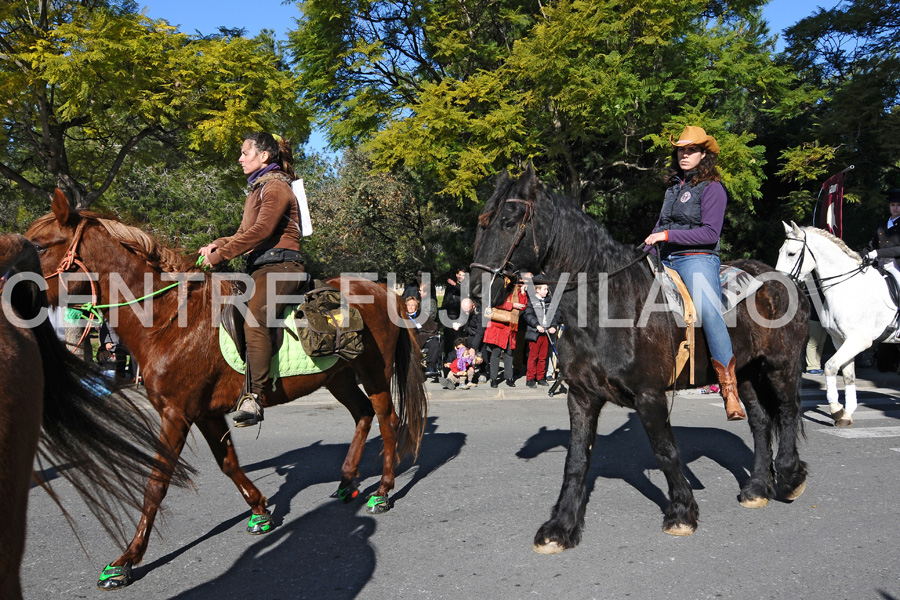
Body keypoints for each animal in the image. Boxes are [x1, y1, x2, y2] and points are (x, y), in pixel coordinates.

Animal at [24, 192, 426, 592]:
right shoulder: (205, 413)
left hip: (373, 372)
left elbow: (156, 484)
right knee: (363, 414)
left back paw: (383, 491)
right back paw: (346, 482)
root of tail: (381, 290)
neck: (171, 320)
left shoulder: (176, 414)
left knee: (388, 421)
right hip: (337, 377)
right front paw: (261, 511)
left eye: (39, 245)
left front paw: (126, 560)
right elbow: (228, 463)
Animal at [472, 168, 808, 552]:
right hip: (747, 374)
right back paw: (757, 488)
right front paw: (561, 526)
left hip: (780, 366)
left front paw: (681, 512)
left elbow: (666, 451)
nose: (478, 290)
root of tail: (786, 282)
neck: (608, 305)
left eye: (510, 222)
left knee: (787, 412)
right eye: (483, 222)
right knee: (761, 423)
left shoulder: (650, 396)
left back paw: (790, 477)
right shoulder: (582, 396)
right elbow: (576, 459)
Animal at [772, 221, 900, 426]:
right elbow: (848, 375)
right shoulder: (840, 340)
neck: (846, 287)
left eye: (791, 253)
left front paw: (836, 409)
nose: (779, 285)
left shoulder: (858, 340)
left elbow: (830, 366)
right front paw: (846, 414)